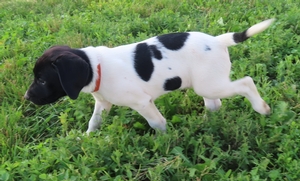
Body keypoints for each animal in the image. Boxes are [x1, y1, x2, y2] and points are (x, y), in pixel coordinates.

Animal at [25, 19, 274, 134]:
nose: (26, 97)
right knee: (214, 105)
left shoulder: (142, 102)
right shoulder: (103, 103)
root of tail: (218, 40)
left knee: (246, 83)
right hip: (206, 83)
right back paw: (204, 124)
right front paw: (86, 138)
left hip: (211, 85)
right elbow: (94, 121)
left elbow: (157, 122)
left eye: (42, 80)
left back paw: (261, 108)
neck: (96, 66)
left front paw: (165, 140)